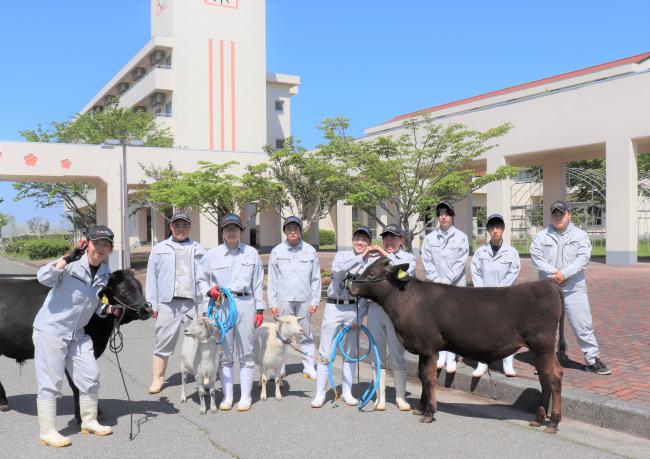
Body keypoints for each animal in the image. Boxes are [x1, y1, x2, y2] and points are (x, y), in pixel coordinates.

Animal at [350, 258, 560, 434]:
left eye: (371, 273)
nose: (352, 286)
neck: (407, 300)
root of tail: (549, 285)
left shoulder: (428, 347)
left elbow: (429, 378)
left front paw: (429, 413)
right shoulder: (423, 349)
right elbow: (421, 375)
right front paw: (420, 408)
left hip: (542, 343)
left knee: (553, 377)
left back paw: (553, 423)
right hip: (542, 348)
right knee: (546, 376)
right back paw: (538, 419)